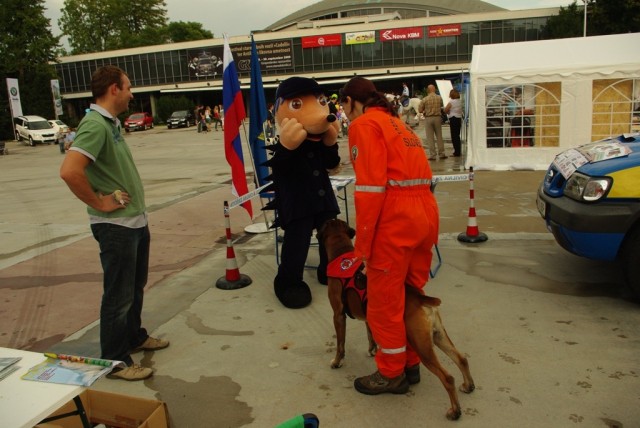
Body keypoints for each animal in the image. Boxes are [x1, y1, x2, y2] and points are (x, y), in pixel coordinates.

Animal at [318, 219, 476, 420]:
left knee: (447, 378)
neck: (341, 251)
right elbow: (370, 335)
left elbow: (340, 344)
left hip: (422, 345)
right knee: (461, 358)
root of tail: (421, 299)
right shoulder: (370, 316)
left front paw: (337, 362)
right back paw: (468, 386)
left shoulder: (338, 315)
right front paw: (372, 350)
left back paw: (455, 411)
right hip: (438, 335)